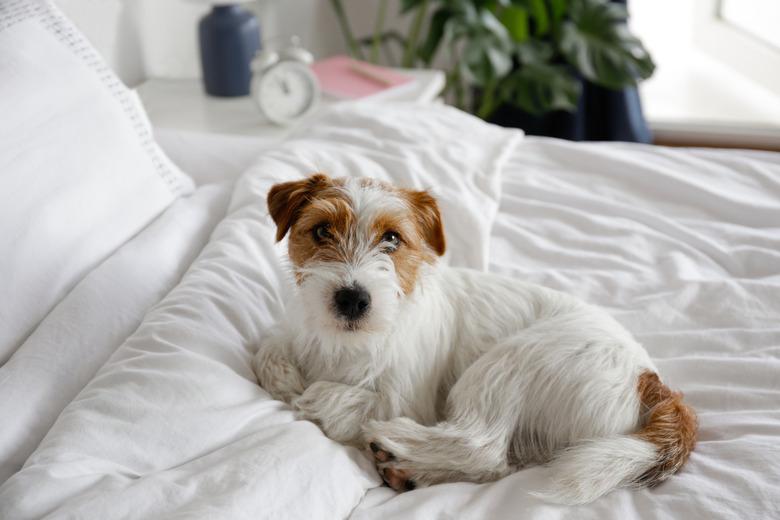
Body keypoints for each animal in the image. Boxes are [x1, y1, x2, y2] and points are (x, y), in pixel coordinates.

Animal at [253, 174, 696, 504]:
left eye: (392, 239)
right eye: (321, 230)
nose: (352, 299)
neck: (345, 344)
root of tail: (648, 379)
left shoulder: (406, 398)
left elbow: (345, 398)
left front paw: (313, 397)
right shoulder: (294, 333)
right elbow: (268, 349)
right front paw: (286, 376)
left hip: (507, 364)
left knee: (480, 443)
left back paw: (394, 442)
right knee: (497, 465)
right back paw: (412, 473)